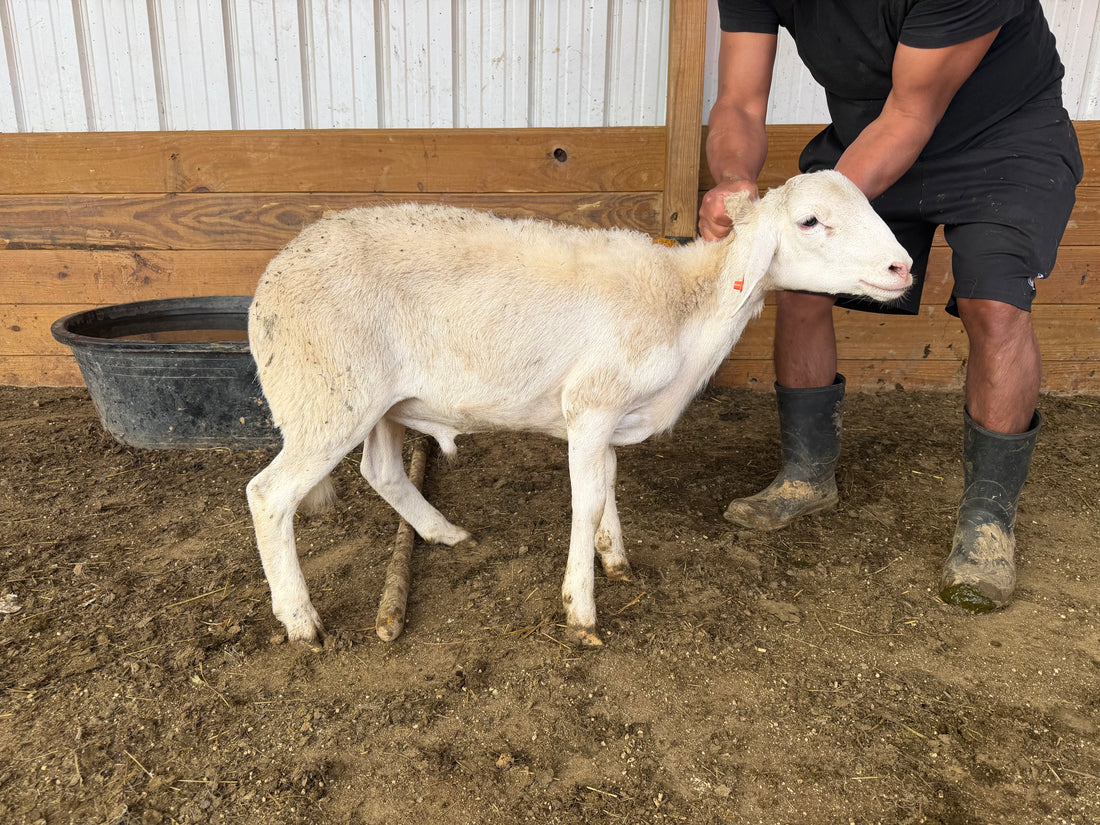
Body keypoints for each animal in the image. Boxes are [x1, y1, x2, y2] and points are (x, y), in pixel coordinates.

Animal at [246, 170, 912, 648]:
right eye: (810, 221)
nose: (902, 267)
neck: (687, 305)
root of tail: (272, 275)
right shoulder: (590, 405)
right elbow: (586, 502)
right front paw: (582, 612)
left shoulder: (610, 419)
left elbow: (609, 487)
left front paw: (615, 560)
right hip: (328, 396)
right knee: (268, 495)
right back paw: (301, 622)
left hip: (379, 400)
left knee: (380, 471)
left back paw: (444, 533)